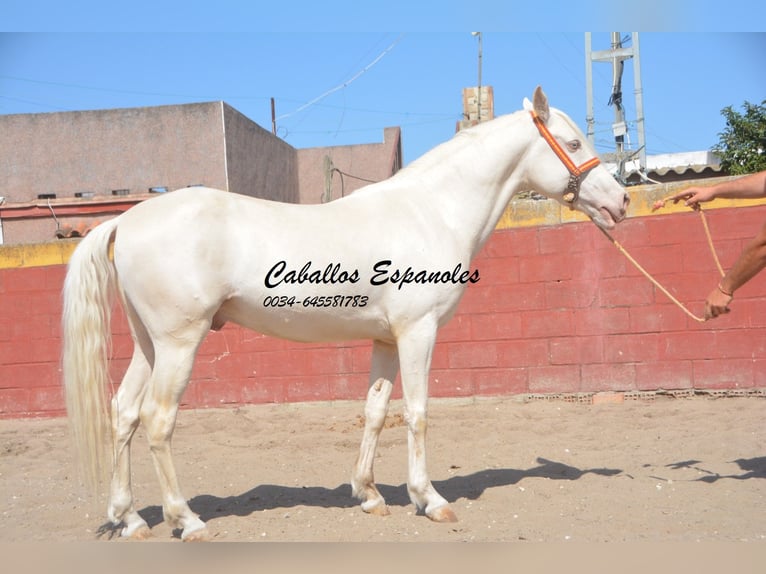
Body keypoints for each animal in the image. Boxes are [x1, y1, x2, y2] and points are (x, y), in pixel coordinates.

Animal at [64, 88, 632, 544]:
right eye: (573, 144)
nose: (622, 201)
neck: (431, 211)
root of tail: (126, 220)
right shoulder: (418, 334)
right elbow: (418, 413)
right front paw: (430, 500)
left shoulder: (385, 340)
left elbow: (376, 411)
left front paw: (369, 494)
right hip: (180, 342)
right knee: (158, 420)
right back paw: (187, 521)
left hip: (149, 344)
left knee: (123, 414)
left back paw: (131, 520)